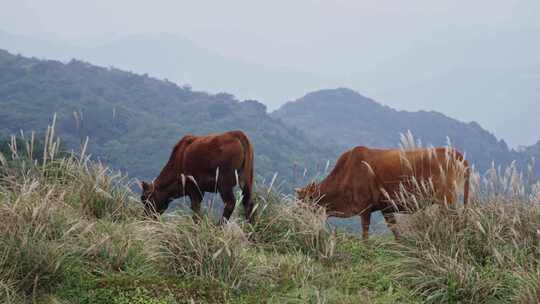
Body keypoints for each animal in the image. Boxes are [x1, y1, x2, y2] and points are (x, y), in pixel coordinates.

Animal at [296, 147, 468, 240]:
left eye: (301, 203)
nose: (295, 222)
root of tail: (453, 152)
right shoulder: (386, 208)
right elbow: (395, 231)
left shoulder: (364, 208)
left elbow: (365, 233)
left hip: (447, 198)